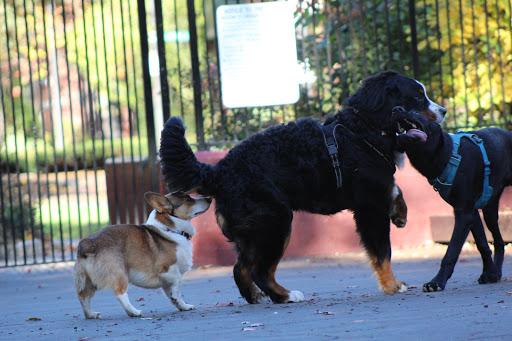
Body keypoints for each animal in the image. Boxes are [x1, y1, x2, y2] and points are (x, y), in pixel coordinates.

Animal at [73, 190, 211, 318]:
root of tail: (89, 243)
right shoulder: (166, 269)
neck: (171, 229)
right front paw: (177, 298)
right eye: (189, 199)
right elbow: (178, 283)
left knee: (83, 297)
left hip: (87, 281)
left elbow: (173, 294)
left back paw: (91, 314)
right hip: (119, 274)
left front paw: (183, 306)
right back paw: (134, 312)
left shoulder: (167, 282)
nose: (209, 198)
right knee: (120, 294)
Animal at [159, 70, 444, 302]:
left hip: (255, 231)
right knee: (260, 271)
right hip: (275, 222)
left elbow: (395, 190)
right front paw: (391, 285)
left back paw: (256, 296)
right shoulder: (369, 208)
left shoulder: (377, 191)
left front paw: (400, 213)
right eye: (418, 97)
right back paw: (285, 295)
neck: (364, 131)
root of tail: (219, 169)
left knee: (241, 269)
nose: (443, 111)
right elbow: (382, 252)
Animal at [396, 108, 508, 290]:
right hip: (490, 210)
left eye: (415, 112)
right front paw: (490, 273)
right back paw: (497, 271)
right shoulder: (470, 212)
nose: (395, 109)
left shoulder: (463, 213)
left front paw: (437, 281)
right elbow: (482, 244)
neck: (447, 154)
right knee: (499, 241)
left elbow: (452, 251)